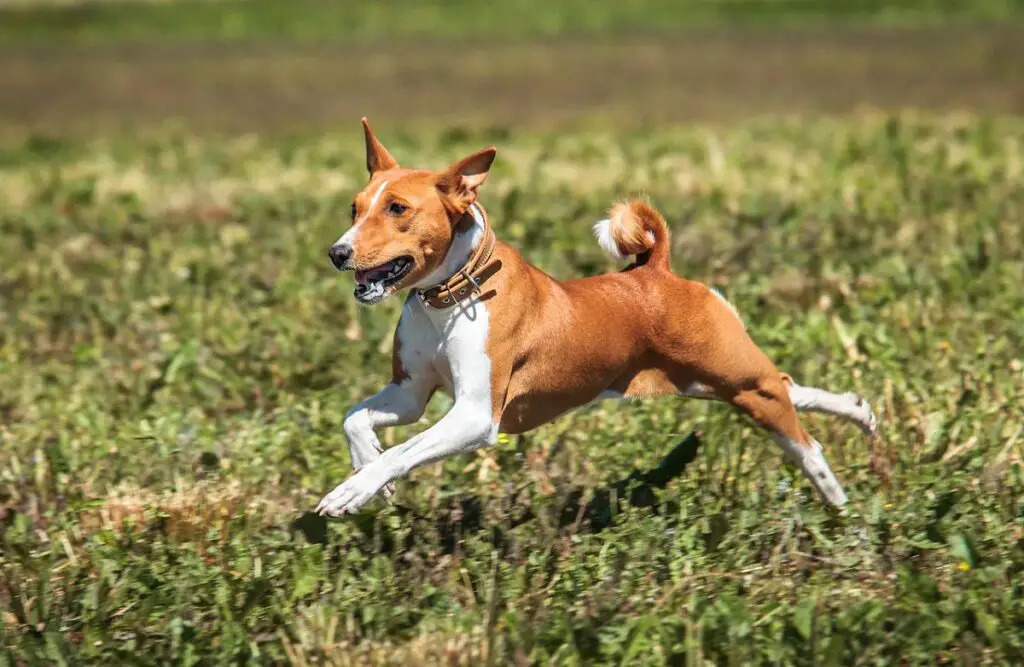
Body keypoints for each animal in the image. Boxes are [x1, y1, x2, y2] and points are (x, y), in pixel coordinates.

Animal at [315, 118, 876, 516]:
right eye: (354, 208)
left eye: (397, 209)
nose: (337, 253)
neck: (448, 300)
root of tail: (657, 270)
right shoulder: (411, 393)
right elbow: (356, 421)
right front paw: (369, 476)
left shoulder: (475, 414)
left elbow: (401, 452)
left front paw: (354, 489)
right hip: (712, 382)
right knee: (790, 387)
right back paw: (859, 411)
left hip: (736, 379)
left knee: (802, 436)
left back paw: (835, 497)